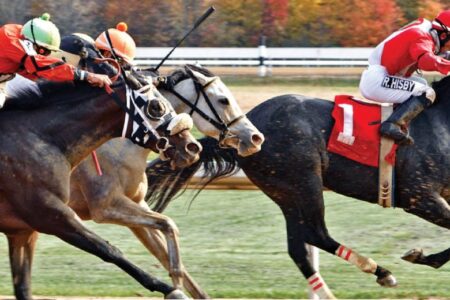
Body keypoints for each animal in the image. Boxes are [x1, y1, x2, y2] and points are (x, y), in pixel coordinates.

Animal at [0, 61, 200, 298]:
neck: (41, 138)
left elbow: (23, 287)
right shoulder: (52, 214)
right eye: (156, 107)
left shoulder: (23, 231)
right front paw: (168, 287)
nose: (192, 147)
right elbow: (109, 249)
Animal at [145, 75, 450, 298]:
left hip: (285, 191)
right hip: (304, 182)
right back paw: (381, 272)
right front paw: (420, 255)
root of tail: (245, 133)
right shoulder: (419, 196)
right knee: (315, 233)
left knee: (298, 247)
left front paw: (423, 256)